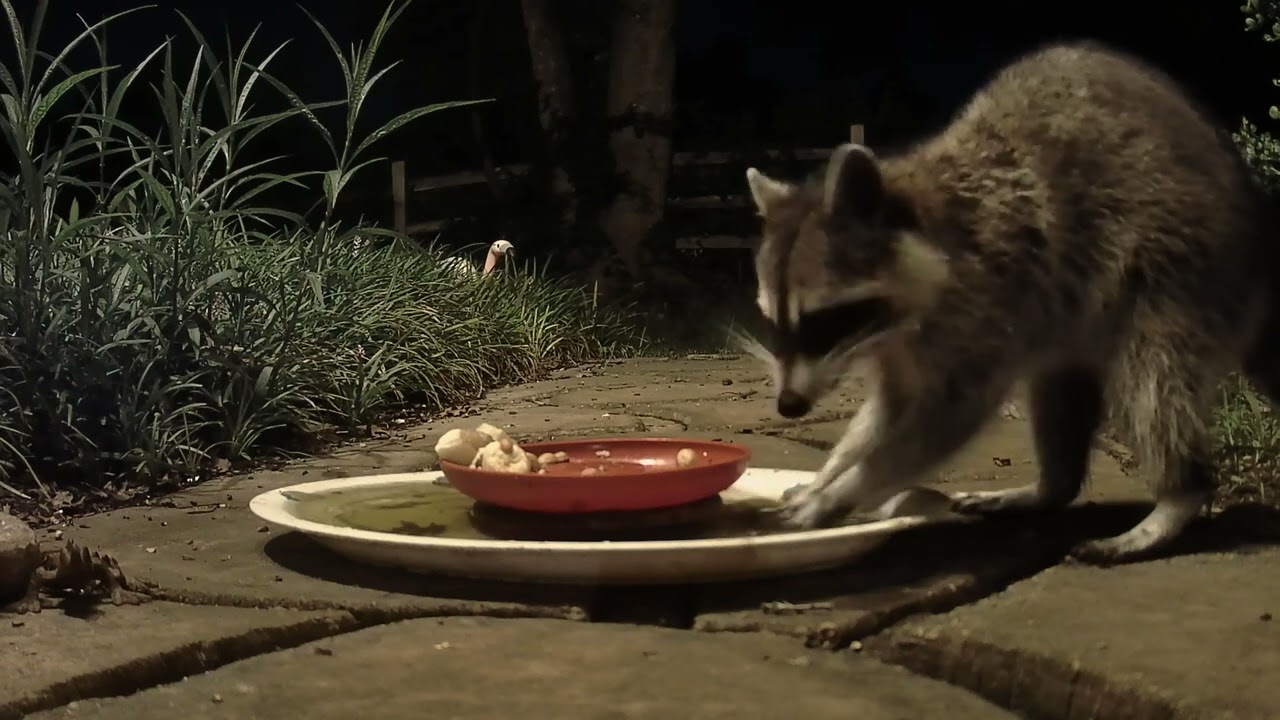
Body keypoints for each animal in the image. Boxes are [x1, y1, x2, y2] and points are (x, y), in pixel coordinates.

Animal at [742, 41, 1280, 564]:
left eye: (821, 321)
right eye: (773, 323)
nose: (789, 406)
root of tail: (1261, 238)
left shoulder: (990, 300)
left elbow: (941, 420)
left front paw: (842, 489)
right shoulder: (902, 347)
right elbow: (884, 413)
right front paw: (829, 472)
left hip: (1182, 272)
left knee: (1152, 383)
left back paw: (1177, 496)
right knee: (1058, 392)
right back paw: (1051, 487)